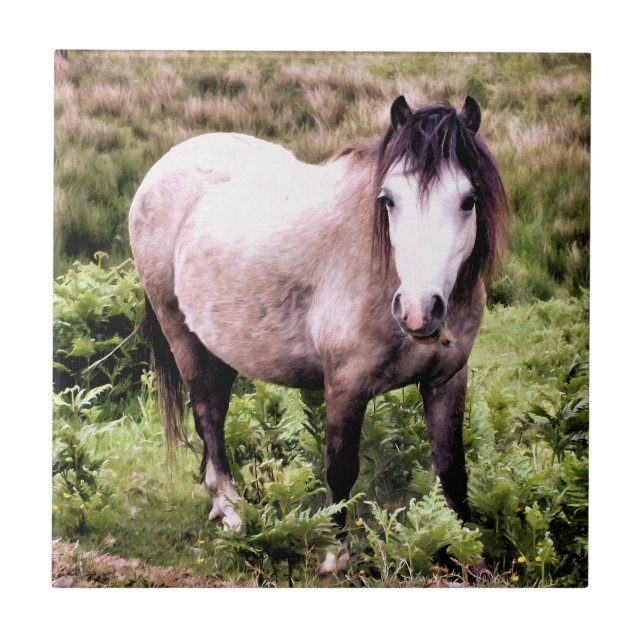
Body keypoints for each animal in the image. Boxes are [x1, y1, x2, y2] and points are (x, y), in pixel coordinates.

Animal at [129, 95, 508, 573]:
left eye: (468, 200)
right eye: (389, 199)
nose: (419, 311)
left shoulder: (447, 380)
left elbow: (453, 469)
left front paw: (468, 554)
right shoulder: (345, 384)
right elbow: (340, 468)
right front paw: (334, 554)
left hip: (221, 346)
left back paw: (218, 500)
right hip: (182, 335)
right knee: (208, 417)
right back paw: (232, 511)